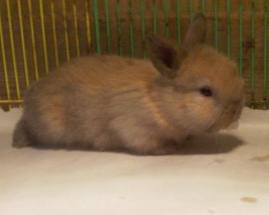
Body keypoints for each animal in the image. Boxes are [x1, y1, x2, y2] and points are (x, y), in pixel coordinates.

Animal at [12, 14, 243, 155]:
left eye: (234, 69)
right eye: (206, 91)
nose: (236, 111)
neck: (160, 102)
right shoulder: (135, 130)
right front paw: (169, 149)